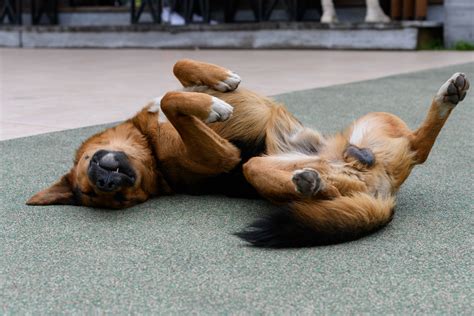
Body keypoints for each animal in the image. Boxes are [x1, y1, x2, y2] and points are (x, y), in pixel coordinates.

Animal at [29, 59, 470, 247]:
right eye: (100, 195)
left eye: (92, 172)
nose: (105, 180)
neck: (152, 152)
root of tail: (383, 195)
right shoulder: (223, 156)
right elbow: (173, 100)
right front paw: (212, 107)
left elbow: (177, 72)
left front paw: (220, 80)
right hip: (256, 167)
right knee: (414, 152)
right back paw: (313, 182)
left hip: (375, 119)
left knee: (418, 145)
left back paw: (447, 95)